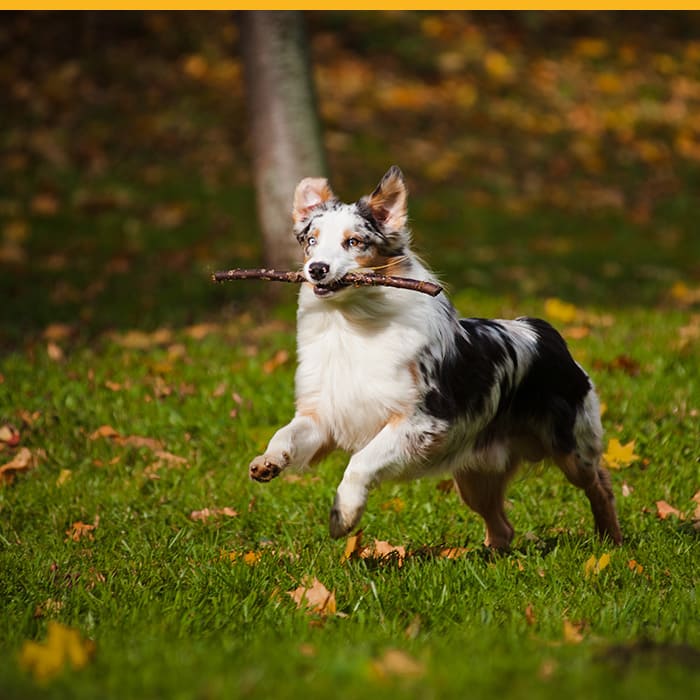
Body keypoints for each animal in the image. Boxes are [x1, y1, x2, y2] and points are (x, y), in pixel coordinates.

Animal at [249, 165, 620, 548]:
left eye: (354, 242)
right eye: (312, 241)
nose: (317, 269)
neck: (348, 325)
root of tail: (543, 330)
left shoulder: (421, 421)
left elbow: (361, 460)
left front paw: (343, 515)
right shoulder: (323, 415)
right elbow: (286, 434)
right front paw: (268, 460)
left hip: (571, 447)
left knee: (600, 483)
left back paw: (611, 539)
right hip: (476, 474)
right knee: (502, 525)